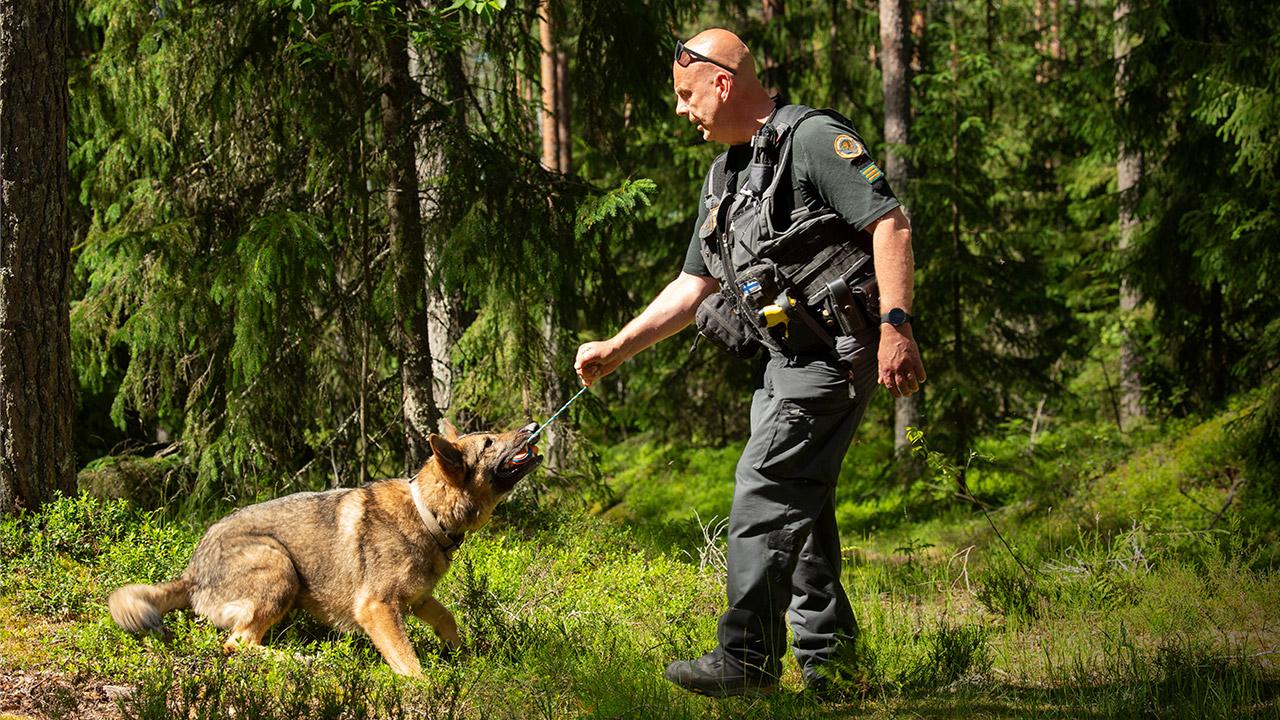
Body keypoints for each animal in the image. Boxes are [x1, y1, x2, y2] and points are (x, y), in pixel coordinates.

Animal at [108, 420, 540, 671]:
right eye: (489, 442)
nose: (534, 424)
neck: (426, 513)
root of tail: (191, 574)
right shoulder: (377, 609)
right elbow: (410, 666)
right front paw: (429, 691)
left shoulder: (416, 600)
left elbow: (448, 619)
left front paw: (460, 655)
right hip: (279, 567)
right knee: (238, 645)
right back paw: (304, 659)